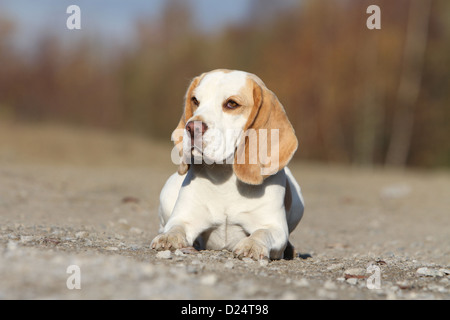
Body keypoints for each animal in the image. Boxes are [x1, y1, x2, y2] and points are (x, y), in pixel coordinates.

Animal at [152, 70, 306, 260]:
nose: (192, 127)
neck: (224, 179)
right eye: (195, 100)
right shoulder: (184, 218)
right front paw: (168, 238)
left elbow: (262, 233)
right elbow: (175, 228)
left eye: (232, 104)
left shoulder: (274, 227)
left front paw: (251, 245)